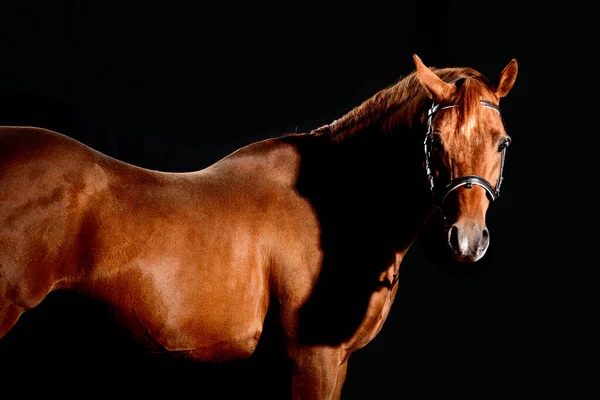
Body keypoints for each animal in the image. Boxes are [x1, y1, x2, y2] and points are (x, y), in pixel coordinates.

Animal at [0, 54, 516, 398]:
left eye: (502, 142)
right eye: (434, 139)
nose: (468, 238)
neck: (339, 201)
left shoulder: (337, 362)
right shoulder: (311, 359)